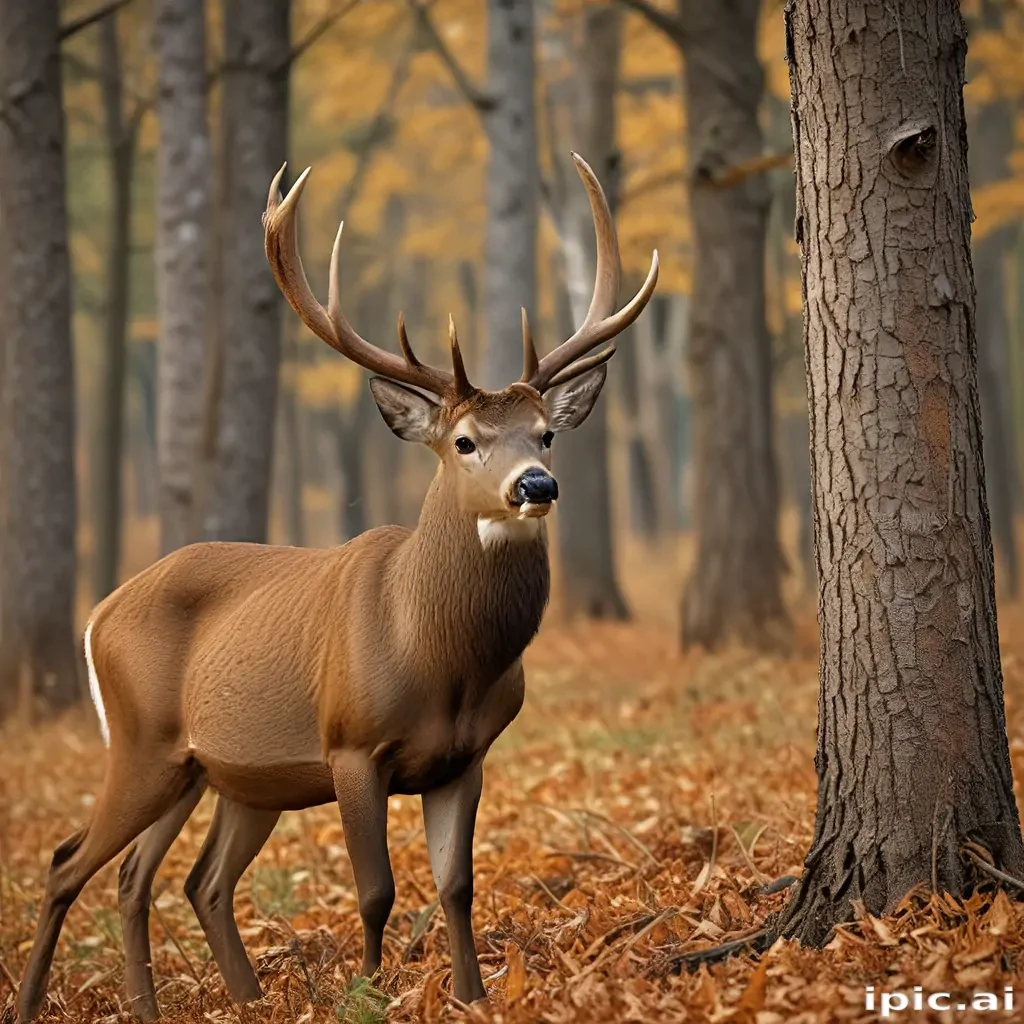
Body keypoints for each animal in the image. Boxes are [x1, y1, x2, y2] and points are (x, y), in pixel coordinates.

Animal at [16, 153, 658, 1023]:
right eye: (464, 441)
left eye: (546, 433)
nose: (535, 484)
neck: (442, 659)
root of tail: (100, 611)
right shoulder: (351, 742)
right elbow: (376, 890)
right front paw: (370, 992)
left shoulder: (465, 755)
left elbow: (457, 885)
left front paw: (469, 995)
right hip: (141, 739)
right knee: (68, 861)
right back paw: (36, 1003)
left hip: (218, 772)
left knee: (173, 877)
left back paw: (218, 1001)